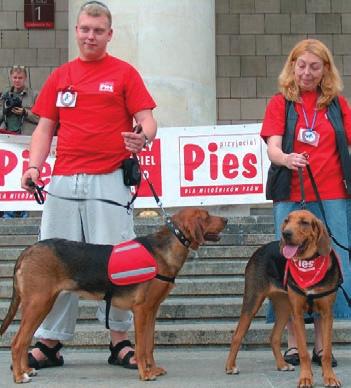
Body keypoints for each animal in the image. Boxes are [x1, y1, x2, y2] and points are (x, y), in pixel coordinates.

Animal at [0, 208, 228, 384]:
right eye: (206, 216)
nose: (226, 220)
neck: (166, 248)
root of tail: (28, 250)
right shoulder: (141, 311)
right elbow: (142, 347)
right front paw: (145, 374)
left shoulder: (152, 311)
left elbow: (150, 345)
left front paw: (153, 369)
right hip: (39, 303)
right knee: (18, 342)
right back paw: (19, 377)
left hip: (39, 306)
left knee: (24, 340)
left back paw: (26, 370)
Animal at [226, 211, 344, 386]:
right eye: (286, 221)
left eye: (304, 222)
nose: (286, 234)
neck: (308, 263)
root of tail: (260, 249)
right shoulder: (298, 314)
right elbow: (303, 352)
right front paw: (306, 378)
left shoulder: (327, 314)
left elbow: (327, 352)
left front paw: (330, 377)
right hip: (253, 300)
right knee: (237, 335)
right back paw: (230, 367)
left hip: (284, 306)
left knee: (274, 337)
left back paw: (282, 365)